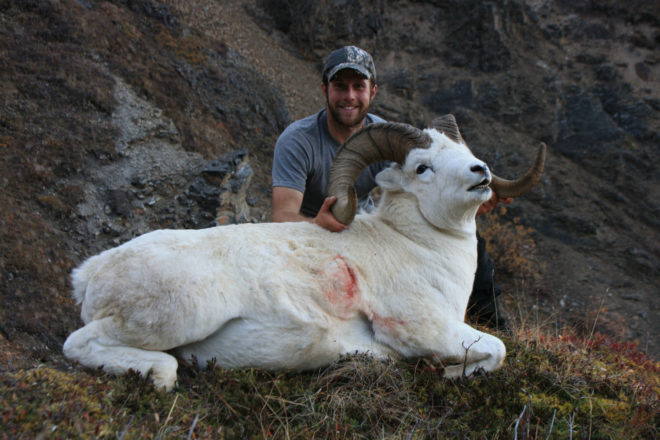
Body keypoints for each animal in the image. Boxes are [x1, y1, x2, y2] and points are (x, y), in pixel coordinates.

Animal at [63, 115, 548, 390]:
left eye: (462, 151)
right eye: (421, 167)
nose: (480, 172)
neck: (411, 245)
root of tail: (91, 273)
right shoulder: (424, 328)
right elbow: (498, 350)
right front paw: (448, 374)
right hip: (180, 316)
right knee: (82, 344)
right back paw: (160, 375)